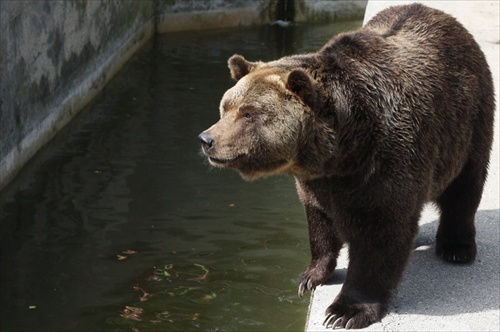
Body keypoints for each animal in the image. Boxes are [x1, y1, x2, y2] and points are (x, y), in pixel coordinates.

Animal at [197, 3, 494, 330]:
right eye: (226, 107)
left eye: (249, 113)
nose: (207, 139)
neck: (342, 151)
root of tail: (443, 17)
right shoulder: (318, 181)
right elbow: (320, 222)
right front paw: (310, 276)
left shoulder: (388, 161)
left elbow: (381, 234)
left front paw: (345, 310)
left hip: (468, 120)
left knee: (465, 187)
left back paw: (457, 248)